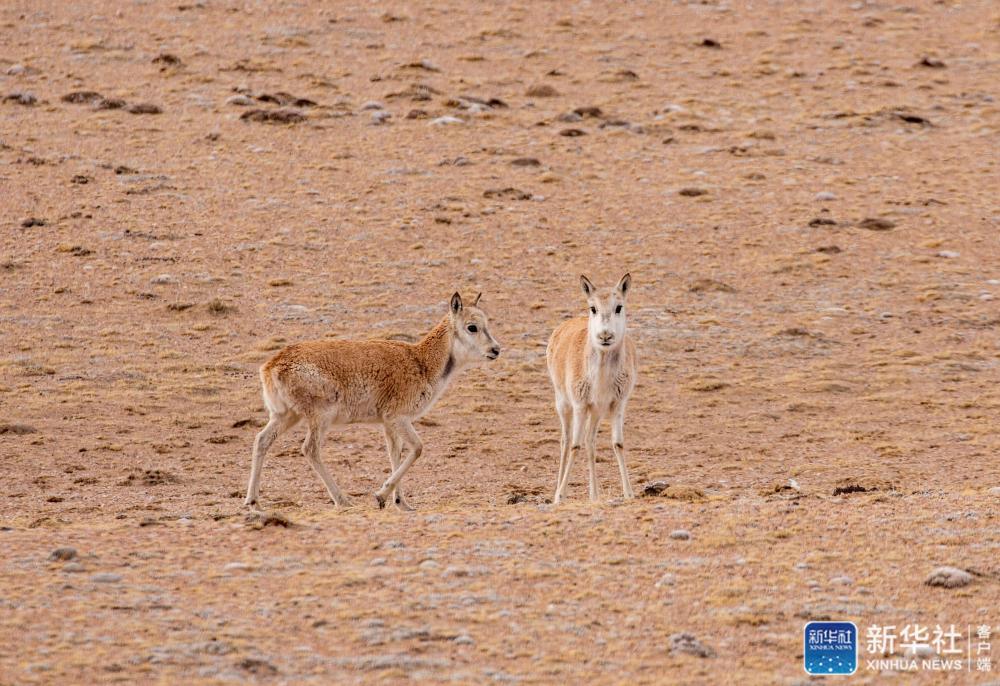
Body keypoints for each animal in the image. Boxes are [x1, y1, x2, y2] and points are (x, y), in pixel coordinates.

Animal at [244, 292, 500, 512]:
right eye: (472, 326)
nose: (496, 350)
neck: (422, 362)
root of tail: (272, 365)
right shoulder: (398, 419)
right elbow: (417, 448)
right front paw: (380, 495)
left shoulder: (389, 425)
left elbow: (395, 454)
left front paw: (400, 503)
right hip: (319, 418)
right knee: (310, 449)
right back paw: (342, 500)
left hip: (286, 416)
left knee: (262, 440)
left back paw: (253, 501)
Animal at [544, 274, 636, 506]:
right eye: (593, 308)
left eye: (619, 306)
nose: (605, 335)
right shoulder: (579, 405)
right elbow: (574, 445)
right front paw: (561, 494)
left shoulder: (618, 404)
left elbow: (618, 443)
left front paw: (629, 493)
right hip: (564, 404)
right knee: (566, 441)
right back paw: (557, 492)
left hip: (596, 412)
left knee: (590, 440)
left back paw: (594, 495)